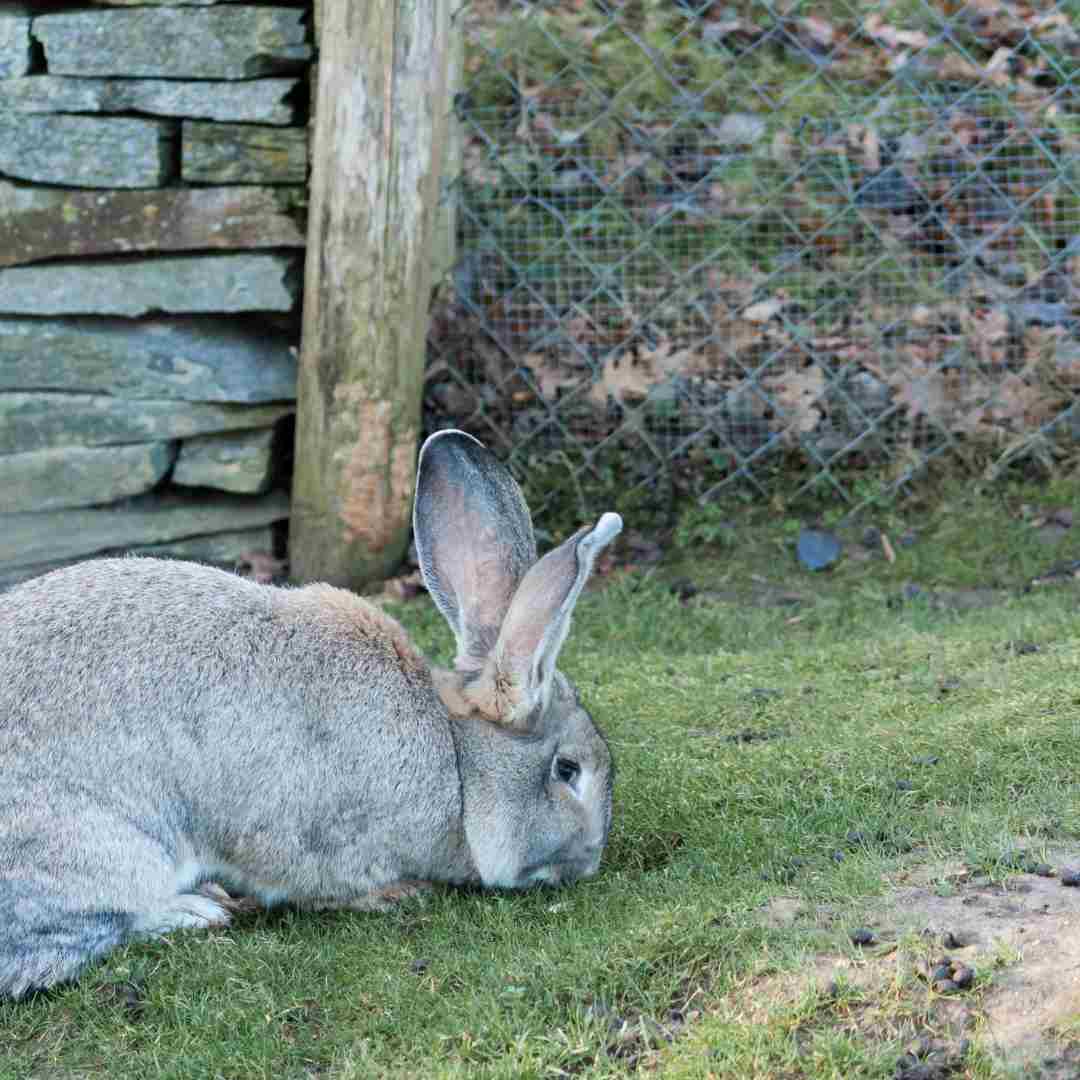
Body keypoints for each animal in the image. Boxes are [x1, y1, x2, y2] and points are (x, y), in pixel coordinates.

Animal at [0, 429, 622, 999]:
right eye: (568, 771)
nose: (589, 862)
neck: (459, 766)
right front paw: (396, 894)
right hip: (107, 851)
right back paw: (198, 910)